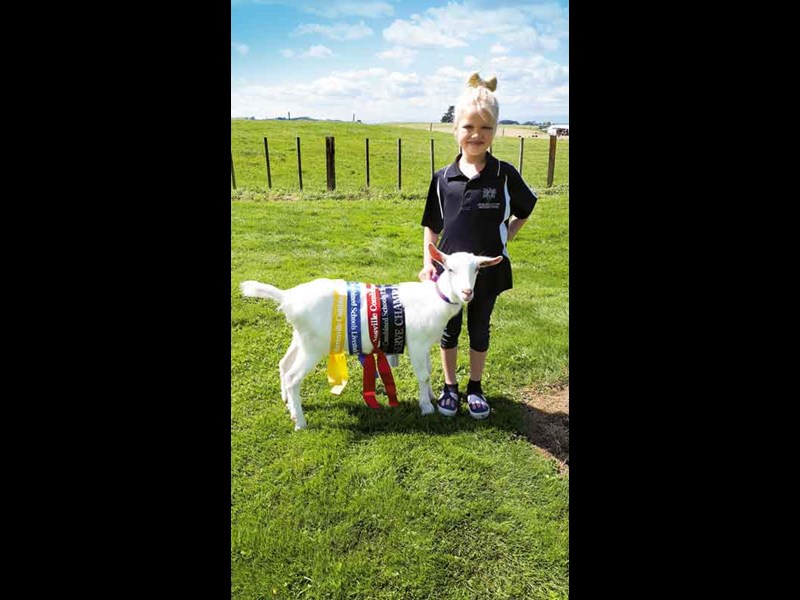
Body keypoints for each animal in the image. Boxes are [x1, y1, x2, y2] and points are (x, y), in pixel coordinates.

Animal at [239, 241, 500, 428]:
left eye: (477, 269)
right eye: (450, 269)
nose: (467, 292)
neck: (434, 299)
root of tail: (287, 298)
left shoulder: (424, 344)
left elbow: (427, 372)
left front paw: (432, 397)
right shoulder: (416, 342)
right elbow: (423, 375)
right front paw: (426, 408)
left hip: (300, 338)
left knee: (283, 364)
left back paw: (289, 405)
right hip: (313, 346)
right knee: (293, 376)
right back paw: (300, 422)